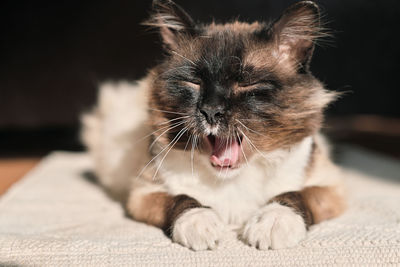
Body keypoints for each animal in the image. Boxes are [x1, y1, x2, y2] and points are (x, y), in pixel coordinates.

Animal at [80, 0, 344, 251]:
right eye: (194, 83)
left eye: (247, 84)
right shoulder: (143, 194)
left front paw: (271, 224)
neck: (231, 179)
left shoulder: (332, 188)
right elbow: (182, 199)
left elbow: (292, 195)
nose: (210, 110)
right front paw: (200, 224)